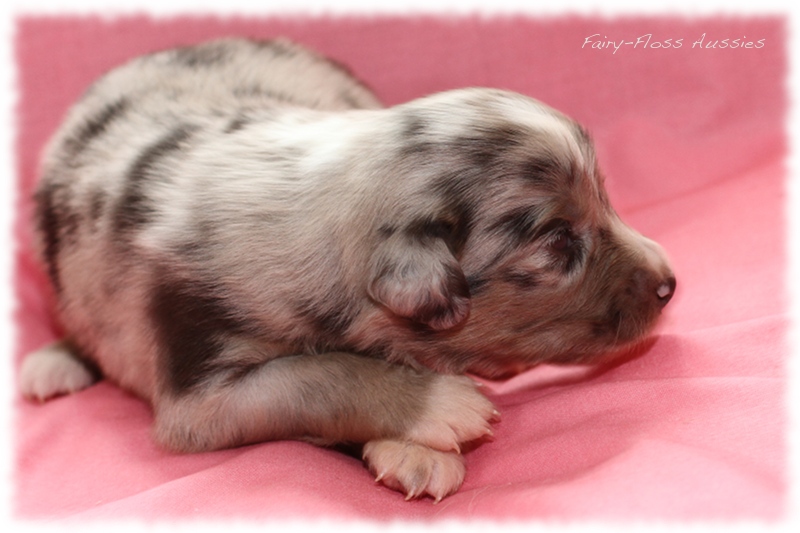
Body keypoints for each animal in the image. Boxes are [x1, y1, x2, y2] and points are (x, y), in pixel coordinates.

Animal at [18, 39, 676, 500]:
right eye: (560, 241)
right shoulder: (197, 397)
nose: (671, 282)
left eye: (605, 200)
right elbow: (312, 377)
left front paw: (414, 451)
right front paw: (442, 410)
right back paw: (52, 363)